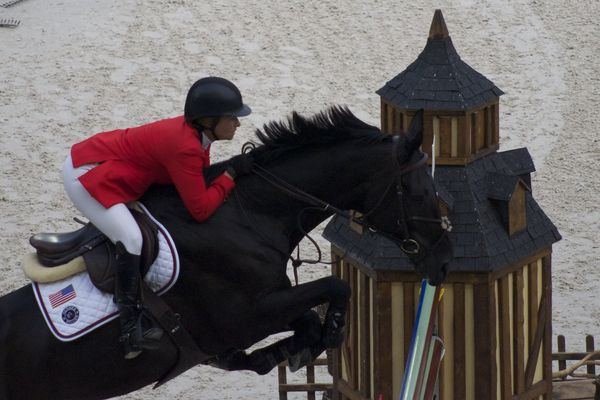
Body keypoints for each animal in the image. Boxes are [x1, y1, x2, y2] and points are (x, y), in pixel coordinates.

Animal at [0, 107, 452, 400]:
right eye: (420, 191)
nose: (443, 260)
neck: (250, 215)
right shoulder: (245, 316)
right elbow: (336, 287)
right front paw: (330, 333)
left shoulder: (269, 306)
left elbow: (307, 321)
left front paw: (285, 352)